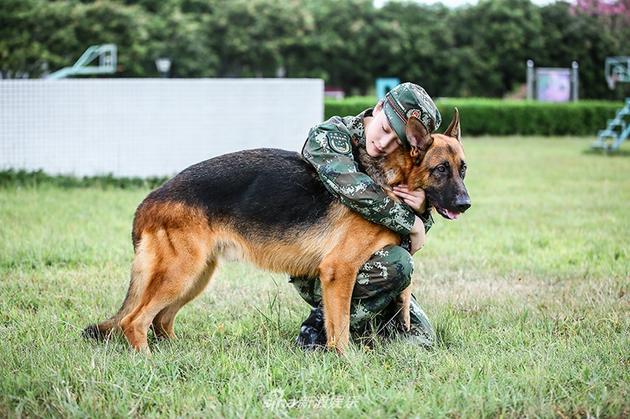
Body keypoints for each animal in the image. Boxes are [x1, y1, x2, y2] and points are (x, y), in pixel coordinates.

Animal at [82, 107, 470, 352]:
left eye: (462, 169)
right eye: (440, 170)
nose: (465, 204)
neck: (392, 178)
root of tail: (149, 200)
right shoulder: (339, 270)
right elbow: (341, 328)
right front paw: (345, 362)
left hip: (196, 276)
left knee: (160, 320)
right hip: (181, 273)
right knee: (135, 321)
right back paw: (148, 362)